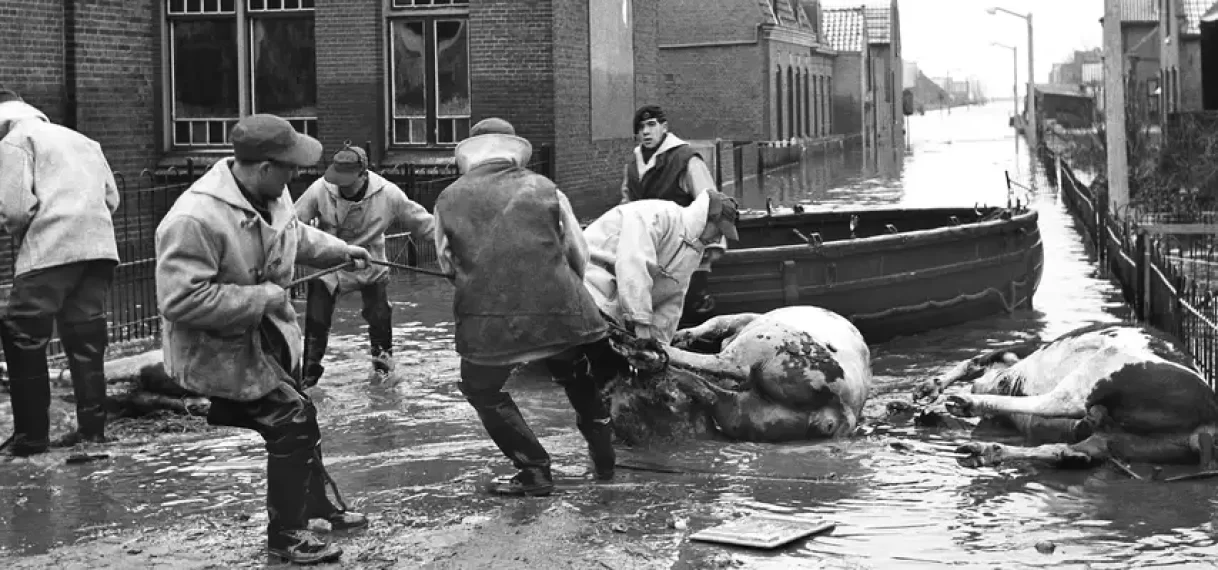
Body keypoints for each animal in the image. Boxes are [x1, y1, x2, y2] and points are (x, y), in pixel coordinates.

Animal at [915, 323, 1218, 470]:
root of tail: (1207, 422)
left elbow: (976, 361)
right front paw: (928, 390)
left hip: (1105, 366)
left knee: (1061, 402)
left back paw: (967, 405)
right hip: (1126, 443)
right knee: (1063, 447)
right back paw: (985, 451)